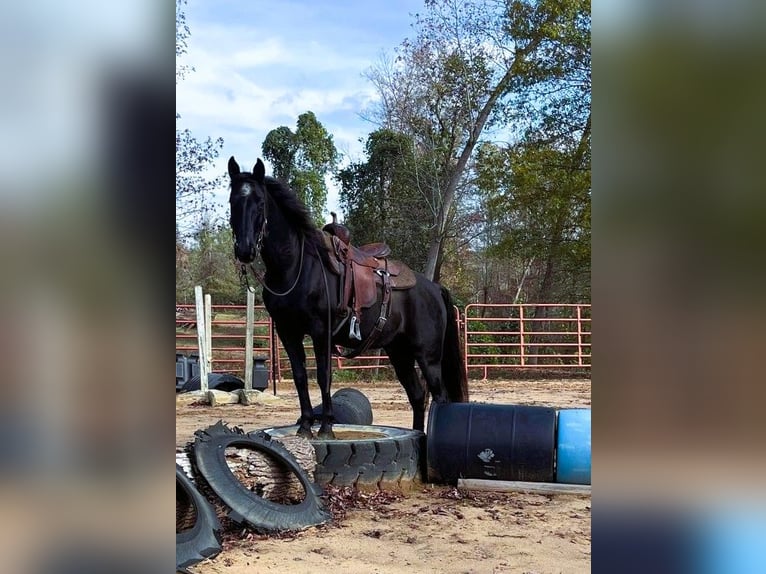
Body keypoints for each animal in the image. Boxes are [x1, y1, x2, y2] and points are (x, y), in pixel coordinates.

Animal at [228, 158, 468, 440]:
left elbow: (323, 376)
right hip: (400, 353)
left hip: (428, 356)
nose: (245, 249)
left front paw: (326, 427)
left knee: (439, 397)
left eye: (260, 202)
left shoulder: (320, 331)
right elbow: (300, 376)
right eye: (232, 201)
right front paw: (305, 425)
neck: (296, 267)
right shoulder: (288, 332)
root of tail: (434, 288)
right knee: (418, 396)